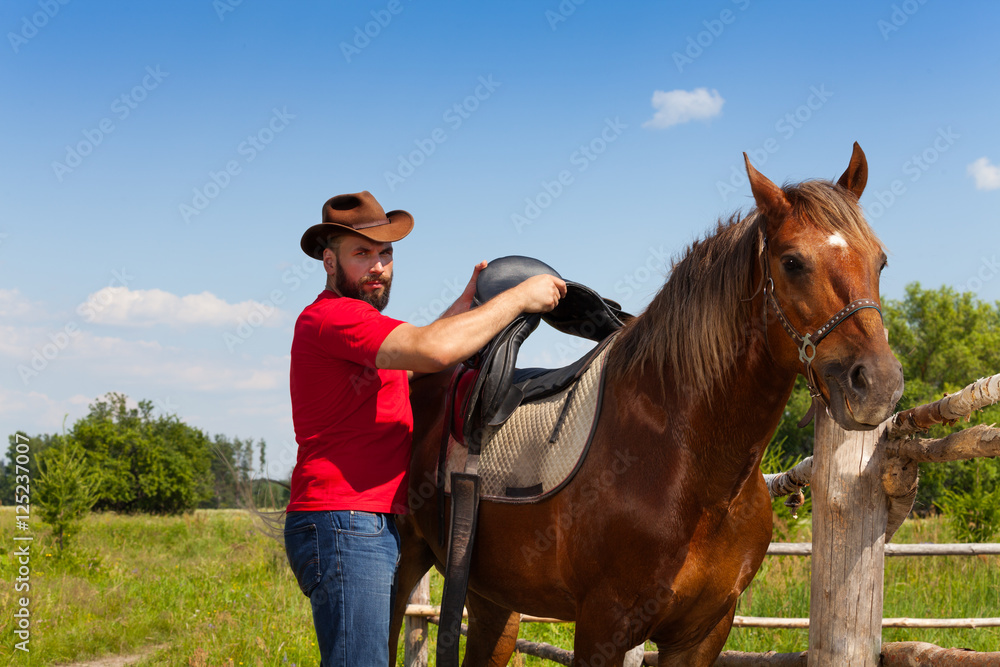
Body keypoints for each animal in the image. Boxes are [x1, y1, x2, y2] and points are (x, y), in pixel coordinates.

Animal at [390, 146, 908, 667]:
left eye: (881, 261)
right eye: (793, 262)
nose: (878, 385)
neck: (691, 469)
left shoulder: (703, 633)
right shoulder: (603, 626)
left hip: (493, 598)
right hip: (403, 564)